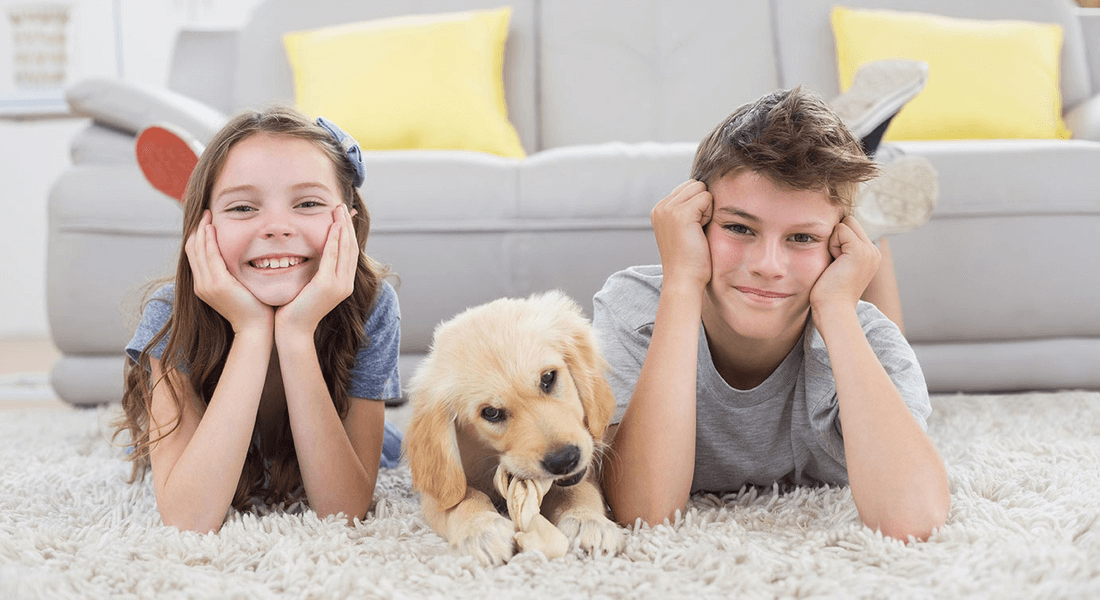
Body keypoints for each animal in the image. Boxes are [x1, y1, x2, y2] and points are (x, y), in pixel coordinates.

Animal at [404, 291, 625, 565]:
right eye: (491, 412)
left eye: (548, 378)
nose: (564, 460)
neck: (487, 454)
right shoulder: (439, 489)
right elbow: (462, 498)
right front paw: (481, 529)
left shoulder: (584, 466)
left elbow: (578, 489)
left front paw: (588, 521)